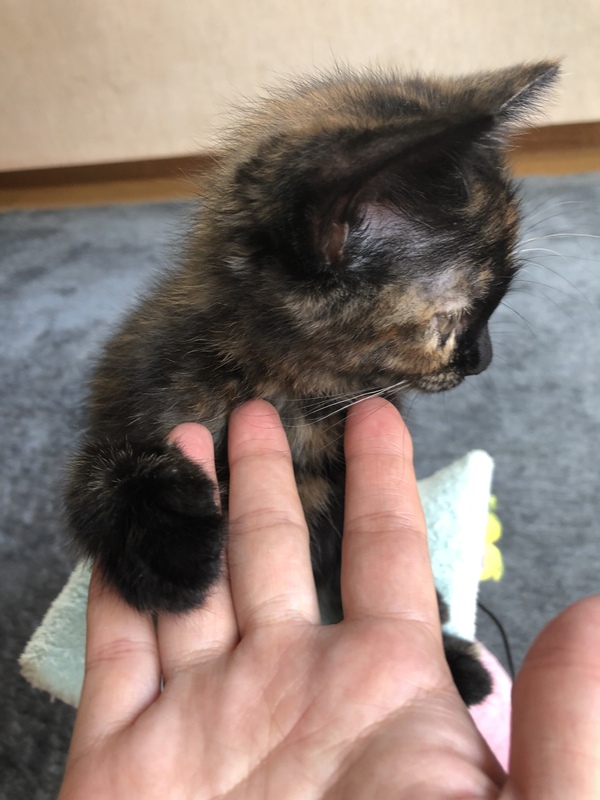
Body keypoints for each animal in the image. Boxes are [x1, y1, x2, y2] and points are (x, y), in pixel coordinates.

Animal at [65, 61, 559, 706]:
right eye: (456, 321)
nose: (485, 359)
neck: (287, 390)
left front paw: (449, 657)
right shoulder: (135, 387)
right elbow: (101, 471)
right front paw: (173, 553)